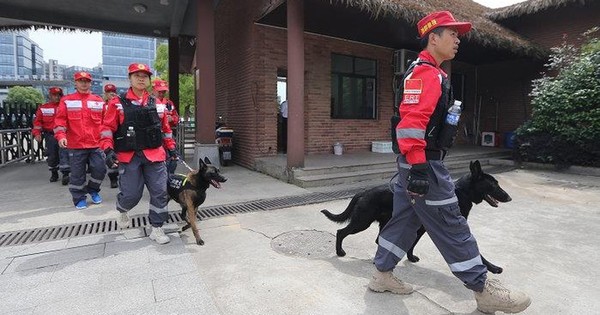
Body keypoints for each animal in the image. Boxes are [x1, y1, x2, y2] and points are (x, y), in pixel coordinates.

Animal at [324, 160, 510, 274]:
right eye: (494, 185)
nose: (509, 198)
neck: (461, 193)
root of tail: (364, 192)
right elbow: (476, 253)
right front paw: (493, 268)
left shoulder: (421, 230)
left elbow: (412, 244)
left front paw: (410, 258)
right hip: (362, 222)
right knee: (341, 232)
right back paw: (340, 252)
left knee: (378, 240)